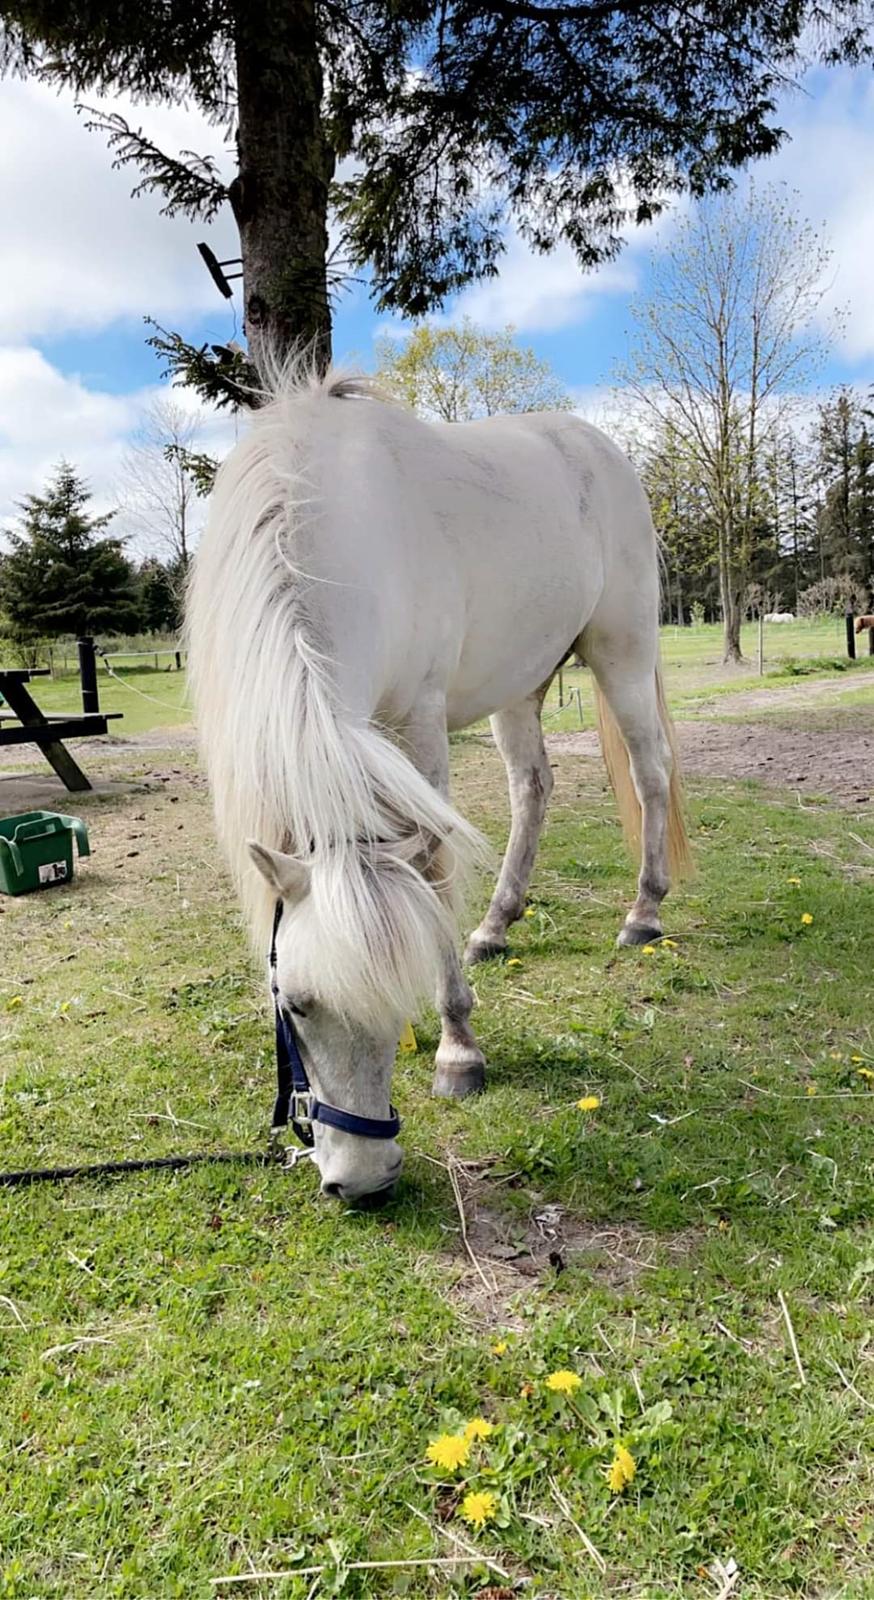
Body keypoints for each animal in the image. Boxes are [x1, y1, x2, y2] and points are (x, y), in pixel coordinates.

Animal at [190, 368, 688, 1203]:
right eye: (295, 1004)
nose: (360, 1181)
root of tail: (599, 447)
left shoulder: (418, 728)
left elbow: (433, 870)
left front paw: (459, 1048)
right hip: (522, 683)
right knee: (532, 788)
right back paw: (495, 926)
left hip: (621, 654)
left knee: (649, 774)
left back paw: (642, 914)